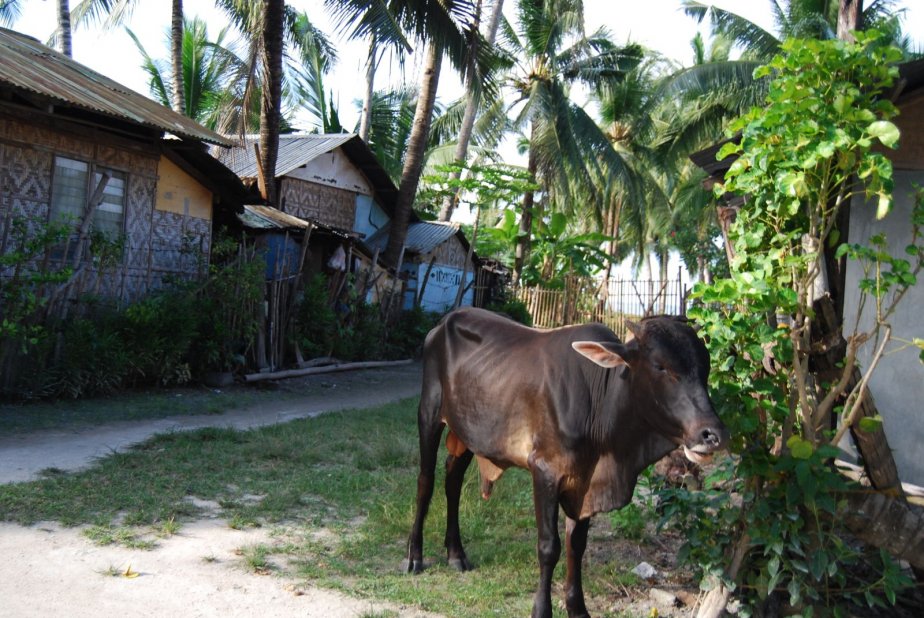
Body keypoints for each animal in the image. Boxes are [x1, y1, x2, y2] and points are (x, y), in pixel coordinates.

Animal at [404, 307, 728, 618]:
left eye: (705, 367)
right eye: (661, 366)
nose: (713, 434)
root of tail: (444, 321)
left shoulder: (583, 482)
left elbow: (577, 545)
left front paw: (577, 607)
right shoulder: (545, 471)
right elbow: (550, 547)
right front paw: (541, 610)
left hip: (468, 431)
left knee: (453, 479)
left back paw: (456, 554)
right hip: (429, 414)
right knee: (425, 481)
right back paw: (414, 556)